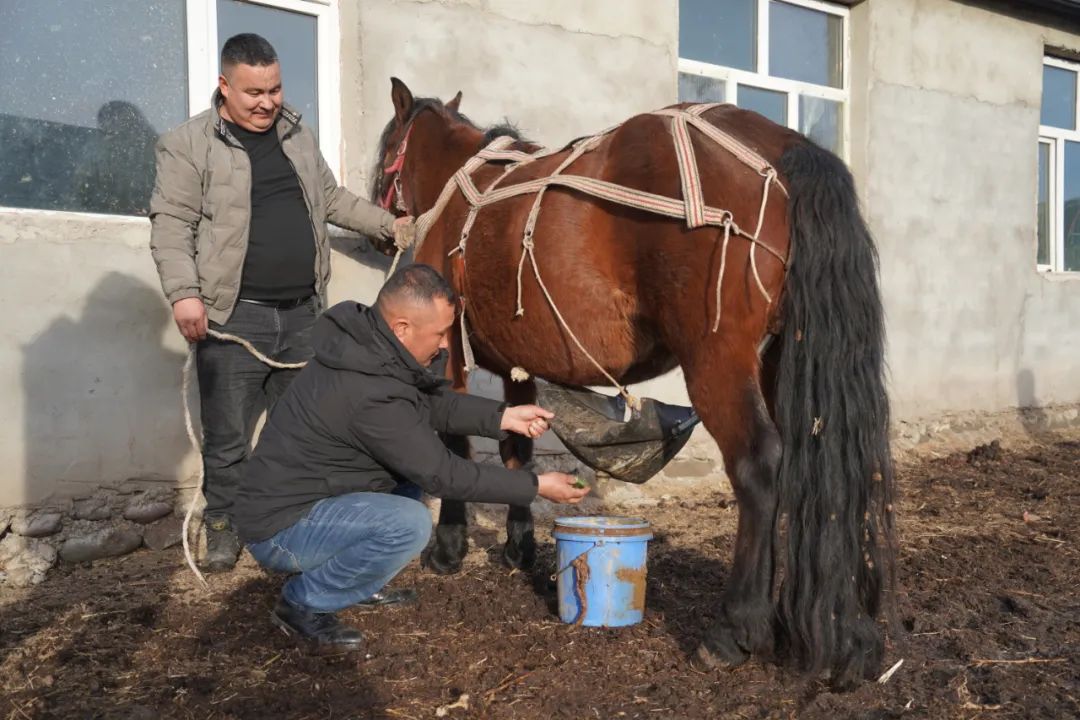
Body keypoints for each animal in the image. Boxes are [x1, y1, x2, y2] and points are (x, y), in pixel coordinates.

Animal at [371, 78, 894, 686]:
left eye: (386, 150)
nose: (381, 228)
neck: (462, 190)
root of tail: (783, 146)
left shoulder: (451, 355)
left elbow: (455, 445)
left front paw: (448, 550)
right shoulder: (519, 366)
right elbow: (516, 450)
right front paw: (518, 548)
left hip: (717, 359)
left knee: (760, 467)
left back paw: (735, 627)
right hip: (783, 360)